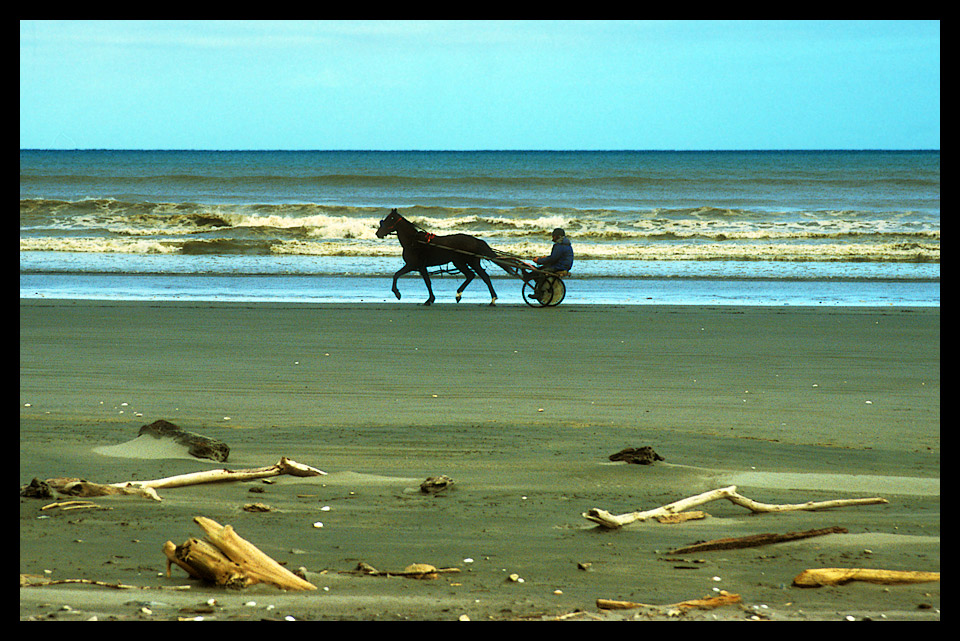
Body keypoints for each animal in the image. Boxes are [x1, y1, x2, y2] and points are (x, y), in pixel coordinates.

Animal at [374, 206, 510, 304]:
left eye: (389, 219)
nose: (378, 233)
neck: (414, 241)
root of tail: (476, 240)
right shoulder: (420, 266)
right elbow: (426, 281)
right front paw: (430, 299)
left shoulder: (413, 265)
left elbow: (398, 275)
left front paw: (398, 293)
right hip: (461, 262)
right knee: (472, 275)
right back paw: (461, 295)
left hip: (466, 262)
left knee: (481, 276)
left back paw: (491, 299)